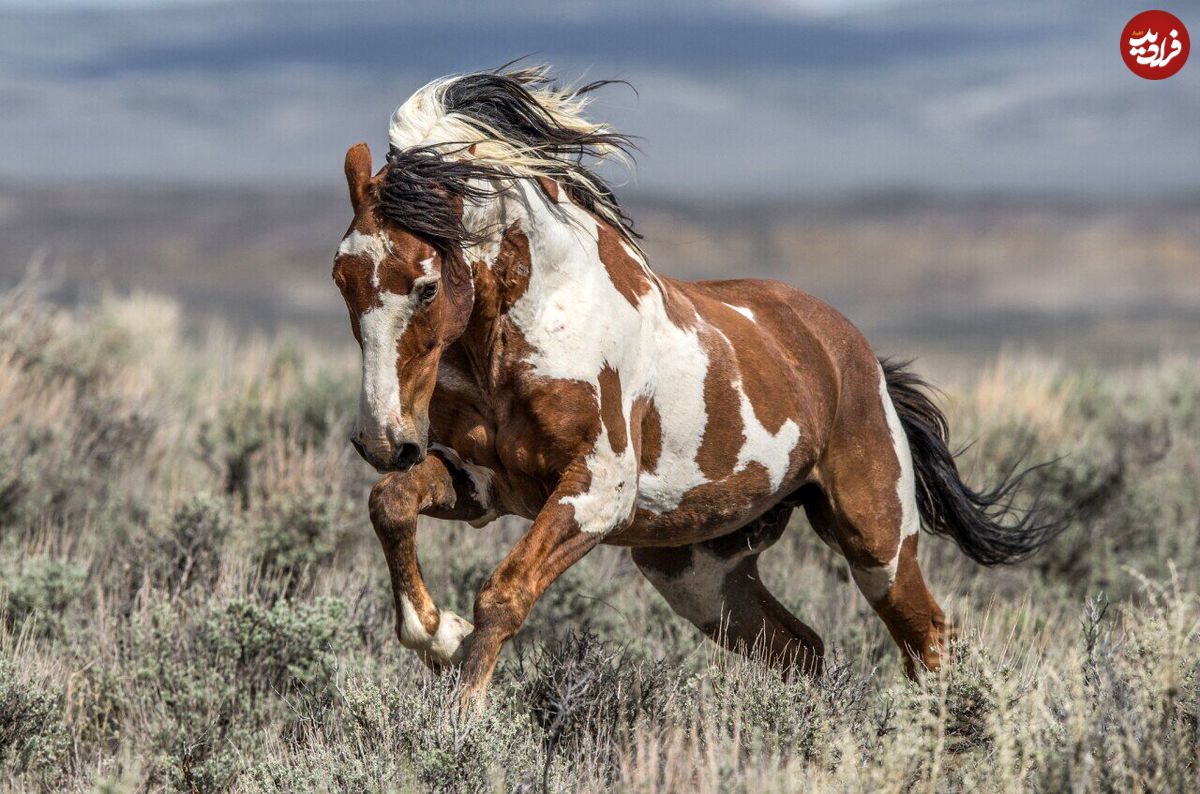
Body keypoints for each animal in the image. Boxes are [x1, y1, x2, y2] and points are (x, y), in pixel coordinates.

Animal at [331, 65, 1060, 700]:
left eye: (426, 286)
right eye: (341, 279)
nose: (382, 440)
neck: (525, 330)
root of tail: (857, 356)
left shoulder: (596, 491)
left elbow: (502, 594)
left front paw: (460, 718)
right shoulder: (485, 483)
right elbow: (391, 504)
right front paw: (435, 635)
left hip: (877, 541)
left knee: (929, 639)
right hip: (699, 571)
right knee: (801, 649)